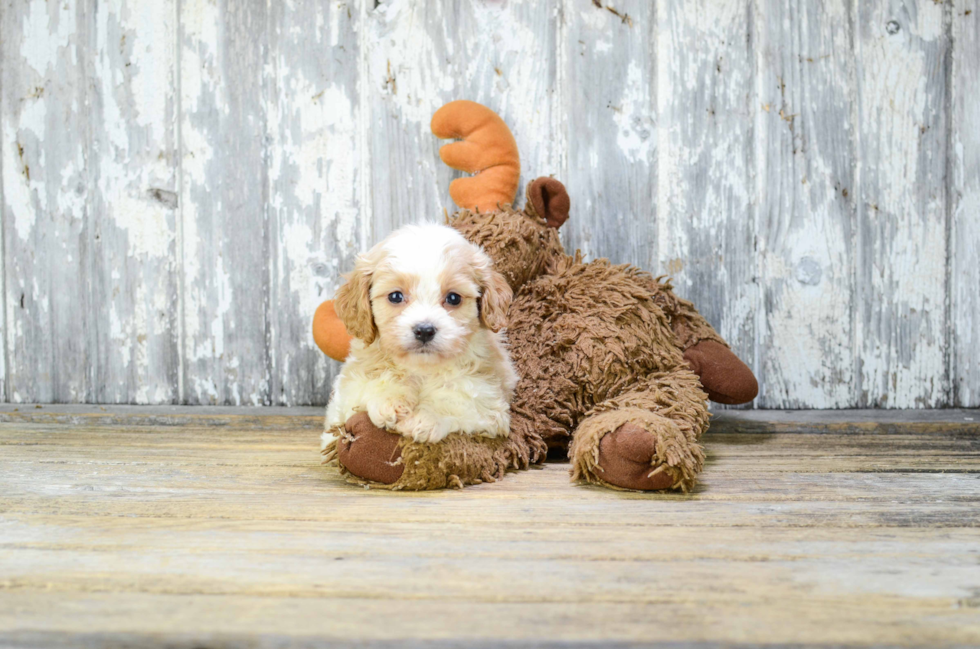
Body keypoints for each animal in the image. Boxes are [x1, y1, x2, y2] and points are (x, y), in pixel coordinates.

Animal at [324, 221, 520, 446]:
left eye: (453, 298)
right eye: (396, 296)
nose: (425, 330)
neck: (421, 369)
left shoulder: (490, 403)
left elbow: (457, 399)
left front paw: (425, 418)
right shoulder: (345, 394)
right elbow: (368, 384)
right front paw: (389, 400)